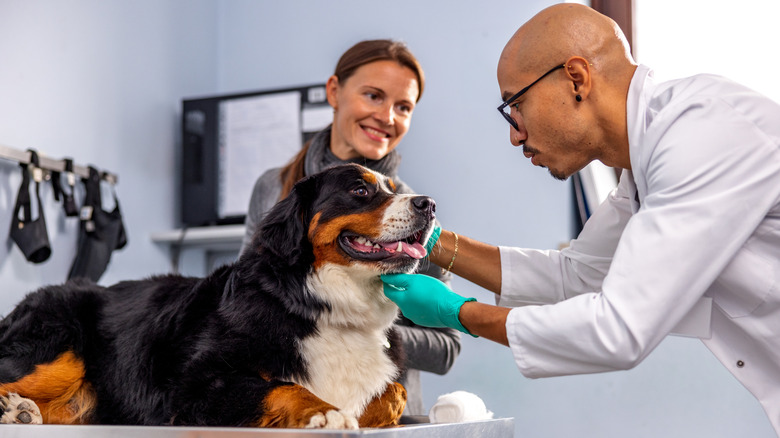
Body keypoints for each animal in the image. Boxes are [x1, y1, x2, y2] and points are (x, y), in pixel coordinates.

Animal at [0, 163, 436, 430]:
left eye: (391, 189)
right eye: (360, 189)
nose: (428, 203)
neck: (321, 303)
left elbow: (394, 393)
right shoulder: (196, 386)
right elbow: (285, 387)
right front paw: (324, 413)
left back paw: (23, 412)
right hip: (57, 351)